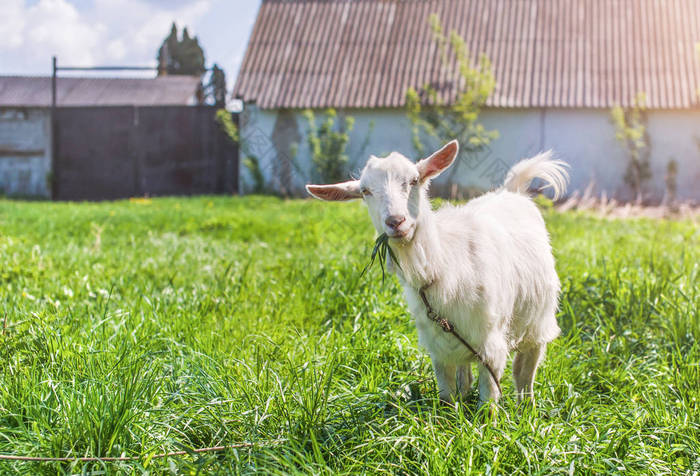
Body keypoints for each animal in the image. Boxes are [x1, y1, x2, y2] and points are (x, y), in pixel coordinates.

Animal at [306, 141, 568, 406]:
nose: (395, 221)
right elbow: (446, 394)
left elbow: (489, 398)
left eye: (414, 180)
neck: (443, 264)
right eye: (365, 191)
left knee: (525, 371)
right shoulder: (439, 346)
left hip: (538, 320)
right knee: (466, 371)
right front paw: (450, 412)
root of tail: (511, 190)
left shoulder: (490, 343)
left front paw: (489, 416)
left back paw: (527, 407)